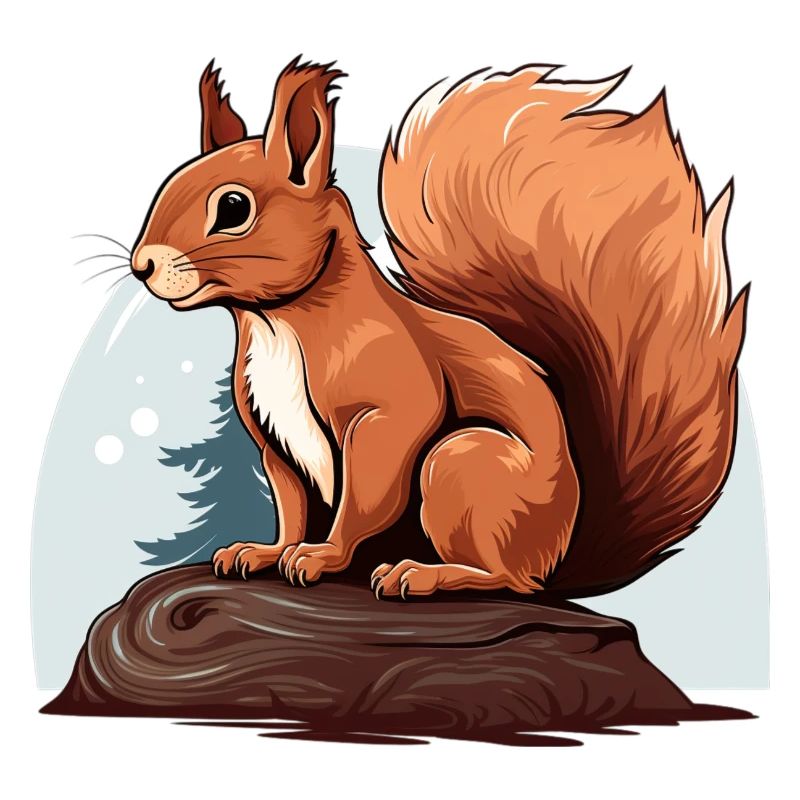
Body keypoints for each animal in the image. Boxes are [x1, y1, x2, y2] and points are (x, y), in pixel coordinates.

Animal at [130, 57, 748, 599]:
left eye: (233, 208)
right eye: (169, 183)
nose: (142, 265)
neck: (275, 322)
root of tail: (558, 557)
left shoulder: (391, 404)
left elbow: (366, 492)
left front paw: (322, 556)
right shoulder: (274, 436)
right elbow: (291, 503)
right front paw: (264, 552)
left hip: (461, 464)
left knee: (508, 581)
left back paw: (426, 575)